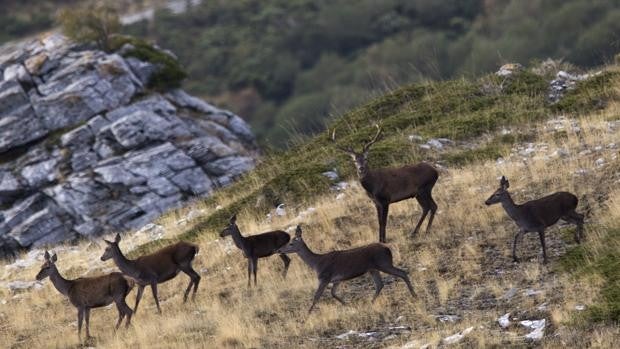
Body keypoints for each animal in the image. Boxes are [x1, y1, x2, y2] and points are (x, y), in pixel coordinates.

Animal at [278, 226, 414, 312]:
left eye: (291, 243)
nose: (279, 249)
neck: (317, 263)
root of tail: (388, 249)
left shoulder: (325, 277)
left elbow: (316, 296)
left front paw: (308, 315)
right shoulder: (336, 280)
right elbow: (333, 293)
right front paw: (347, 304)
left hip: (383, 263)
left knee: (402, 273)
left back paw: (414, 294)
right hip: (373, 268)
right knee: (380, 284)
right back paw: (371, 302)